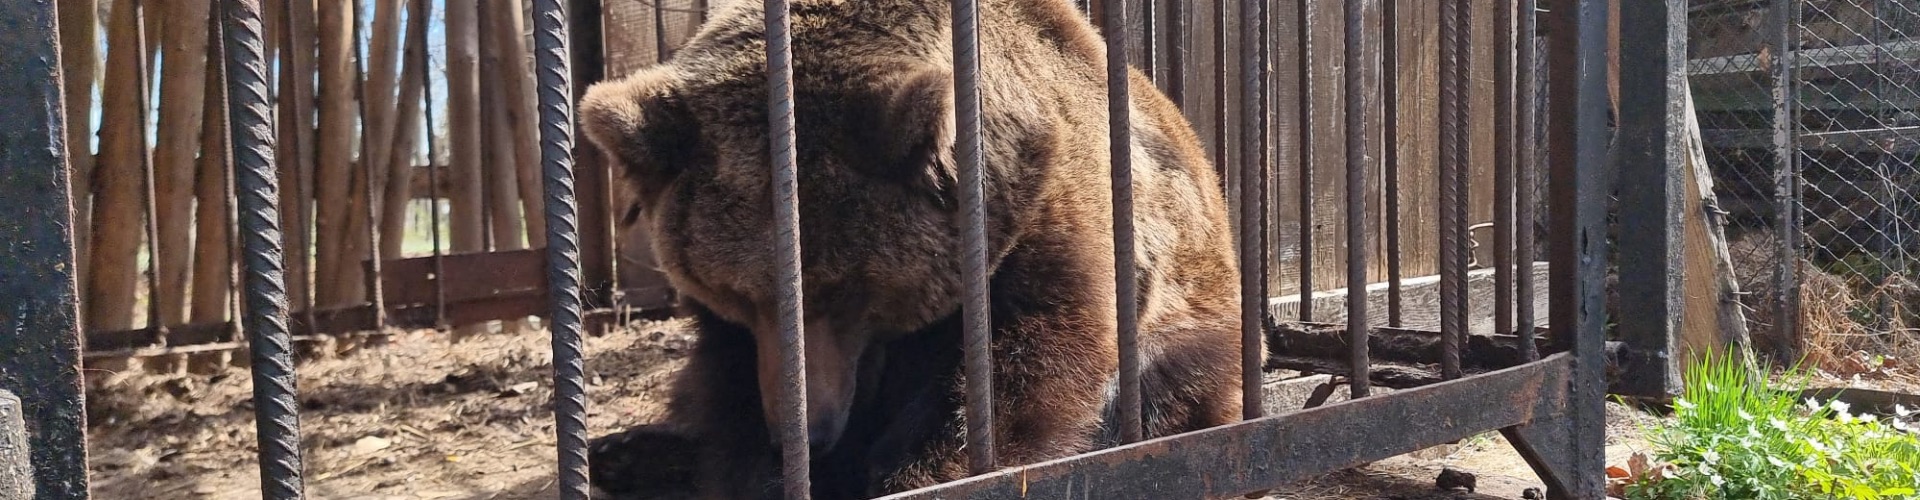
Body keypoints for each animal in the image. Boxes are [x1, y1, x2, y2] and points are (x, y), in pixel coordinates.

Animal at [572, 0, 1244, 496]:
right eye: (736, 293)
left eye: (844, 290)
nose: (805, 432)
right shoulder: (738, 334)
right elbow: (726, 393)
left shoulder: (1053, 221)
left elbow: (1021, 370)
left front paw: (914, 473)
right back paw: (623, 451)